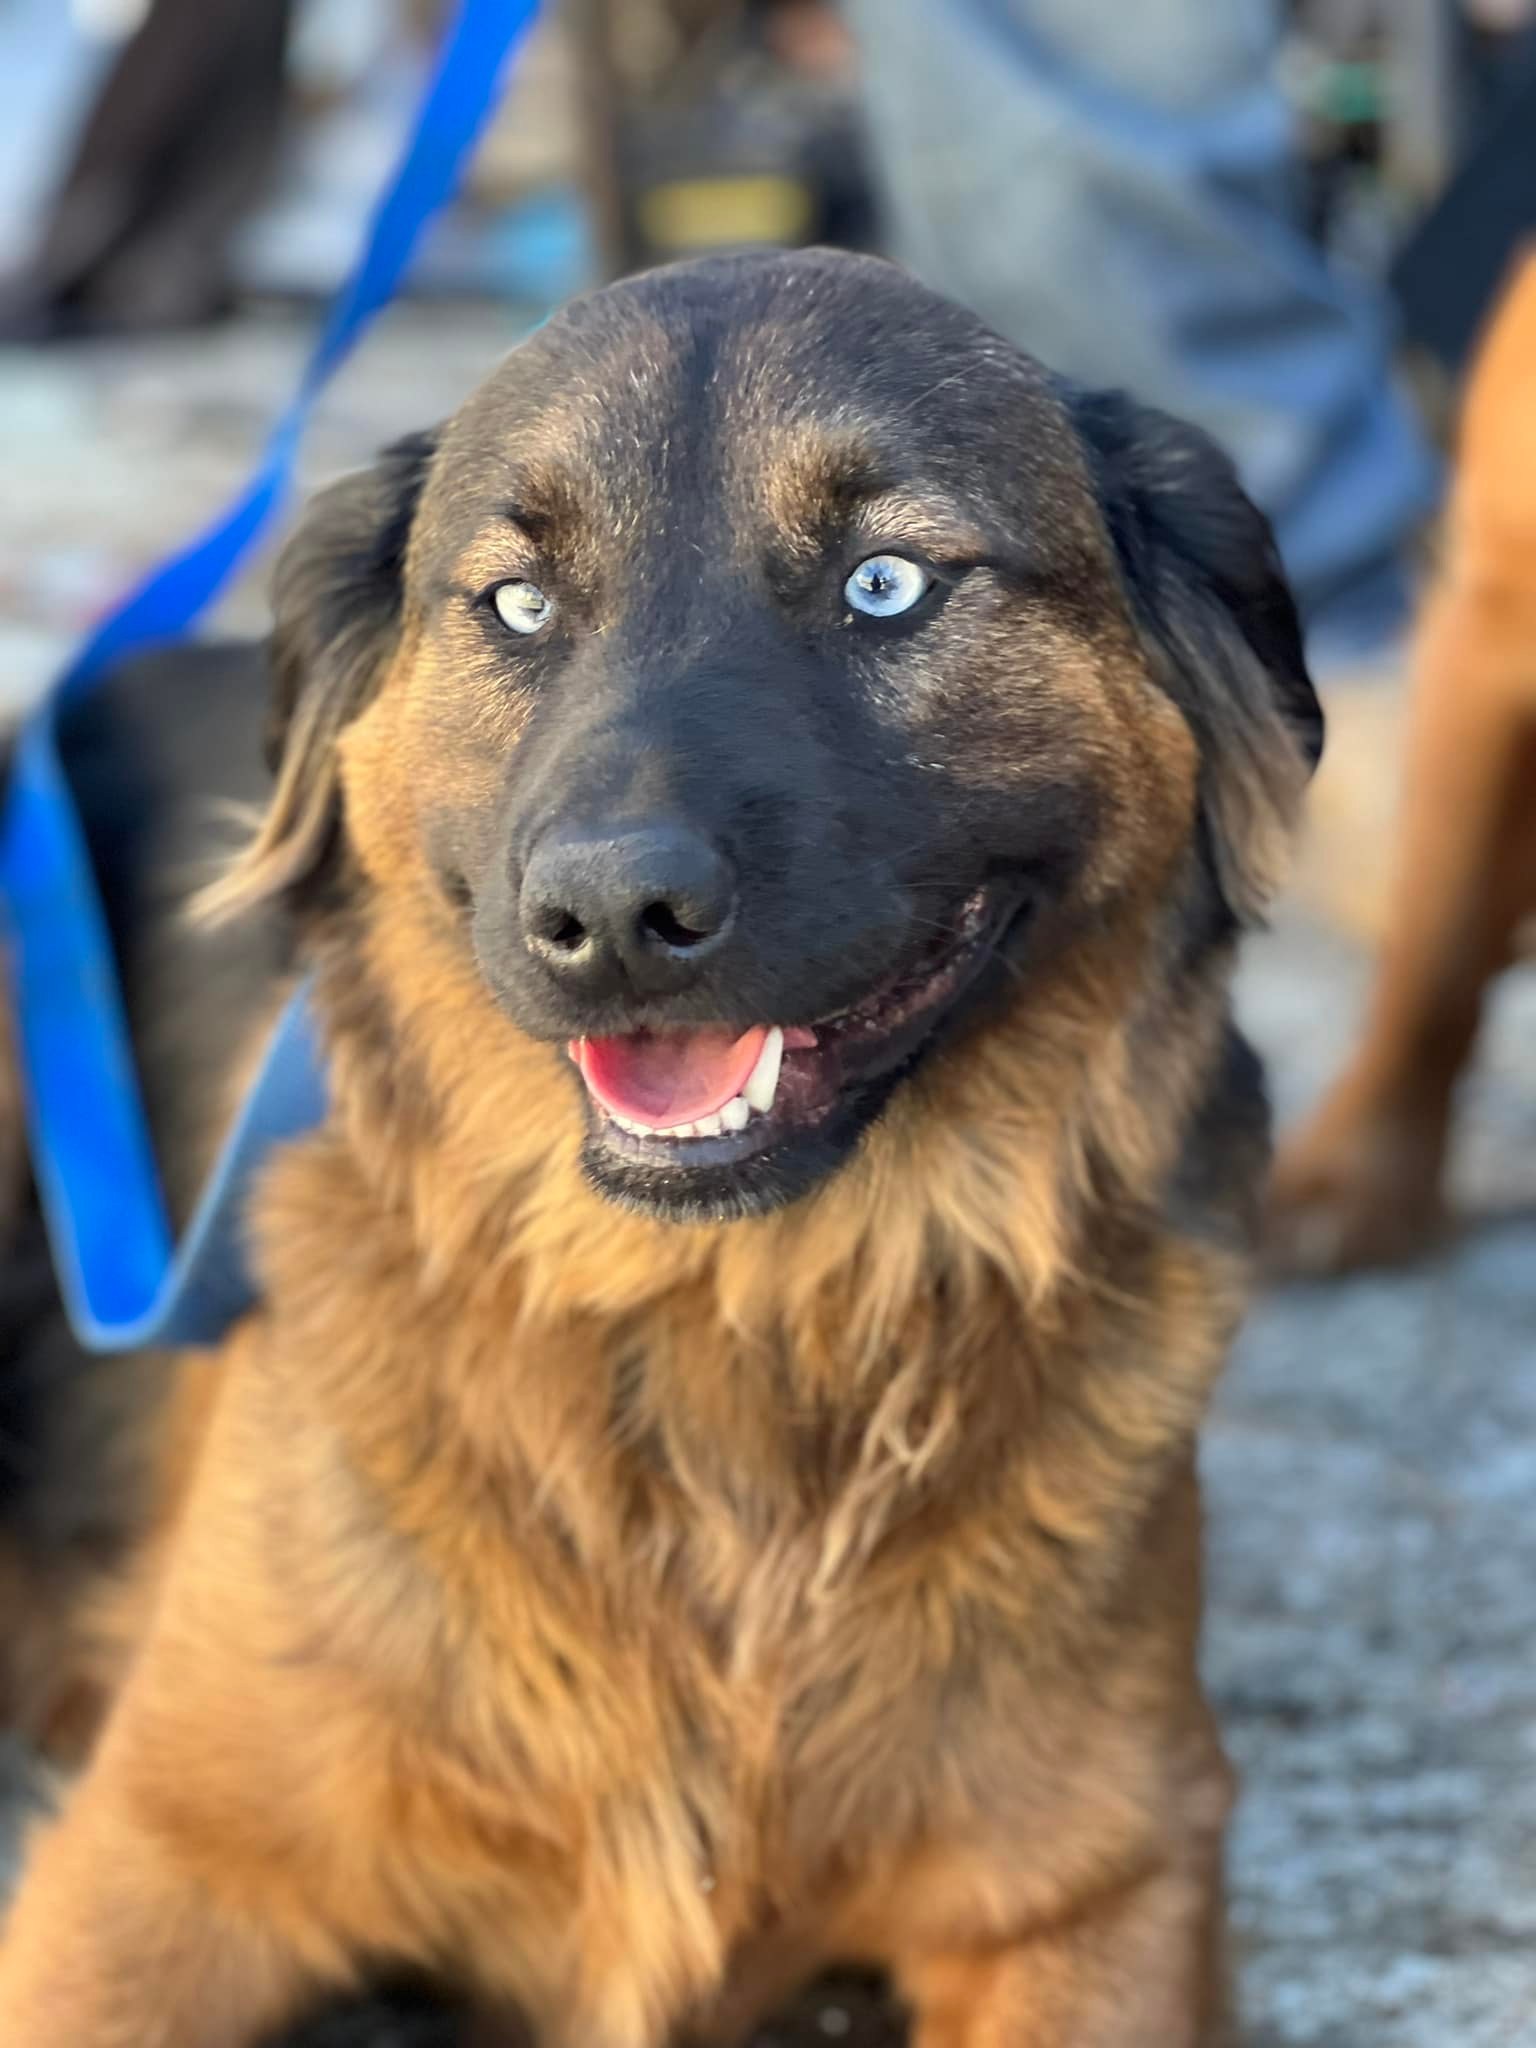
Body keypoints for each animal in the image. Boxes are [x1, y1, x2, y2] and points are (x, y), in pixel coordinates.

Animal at [0, 247, 1327, 2039]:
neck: (729, 1321)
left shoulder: (1109, 1876)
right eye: (517, 605)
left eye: (886, 585)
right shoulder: (155, 1855)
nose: (612, 916)